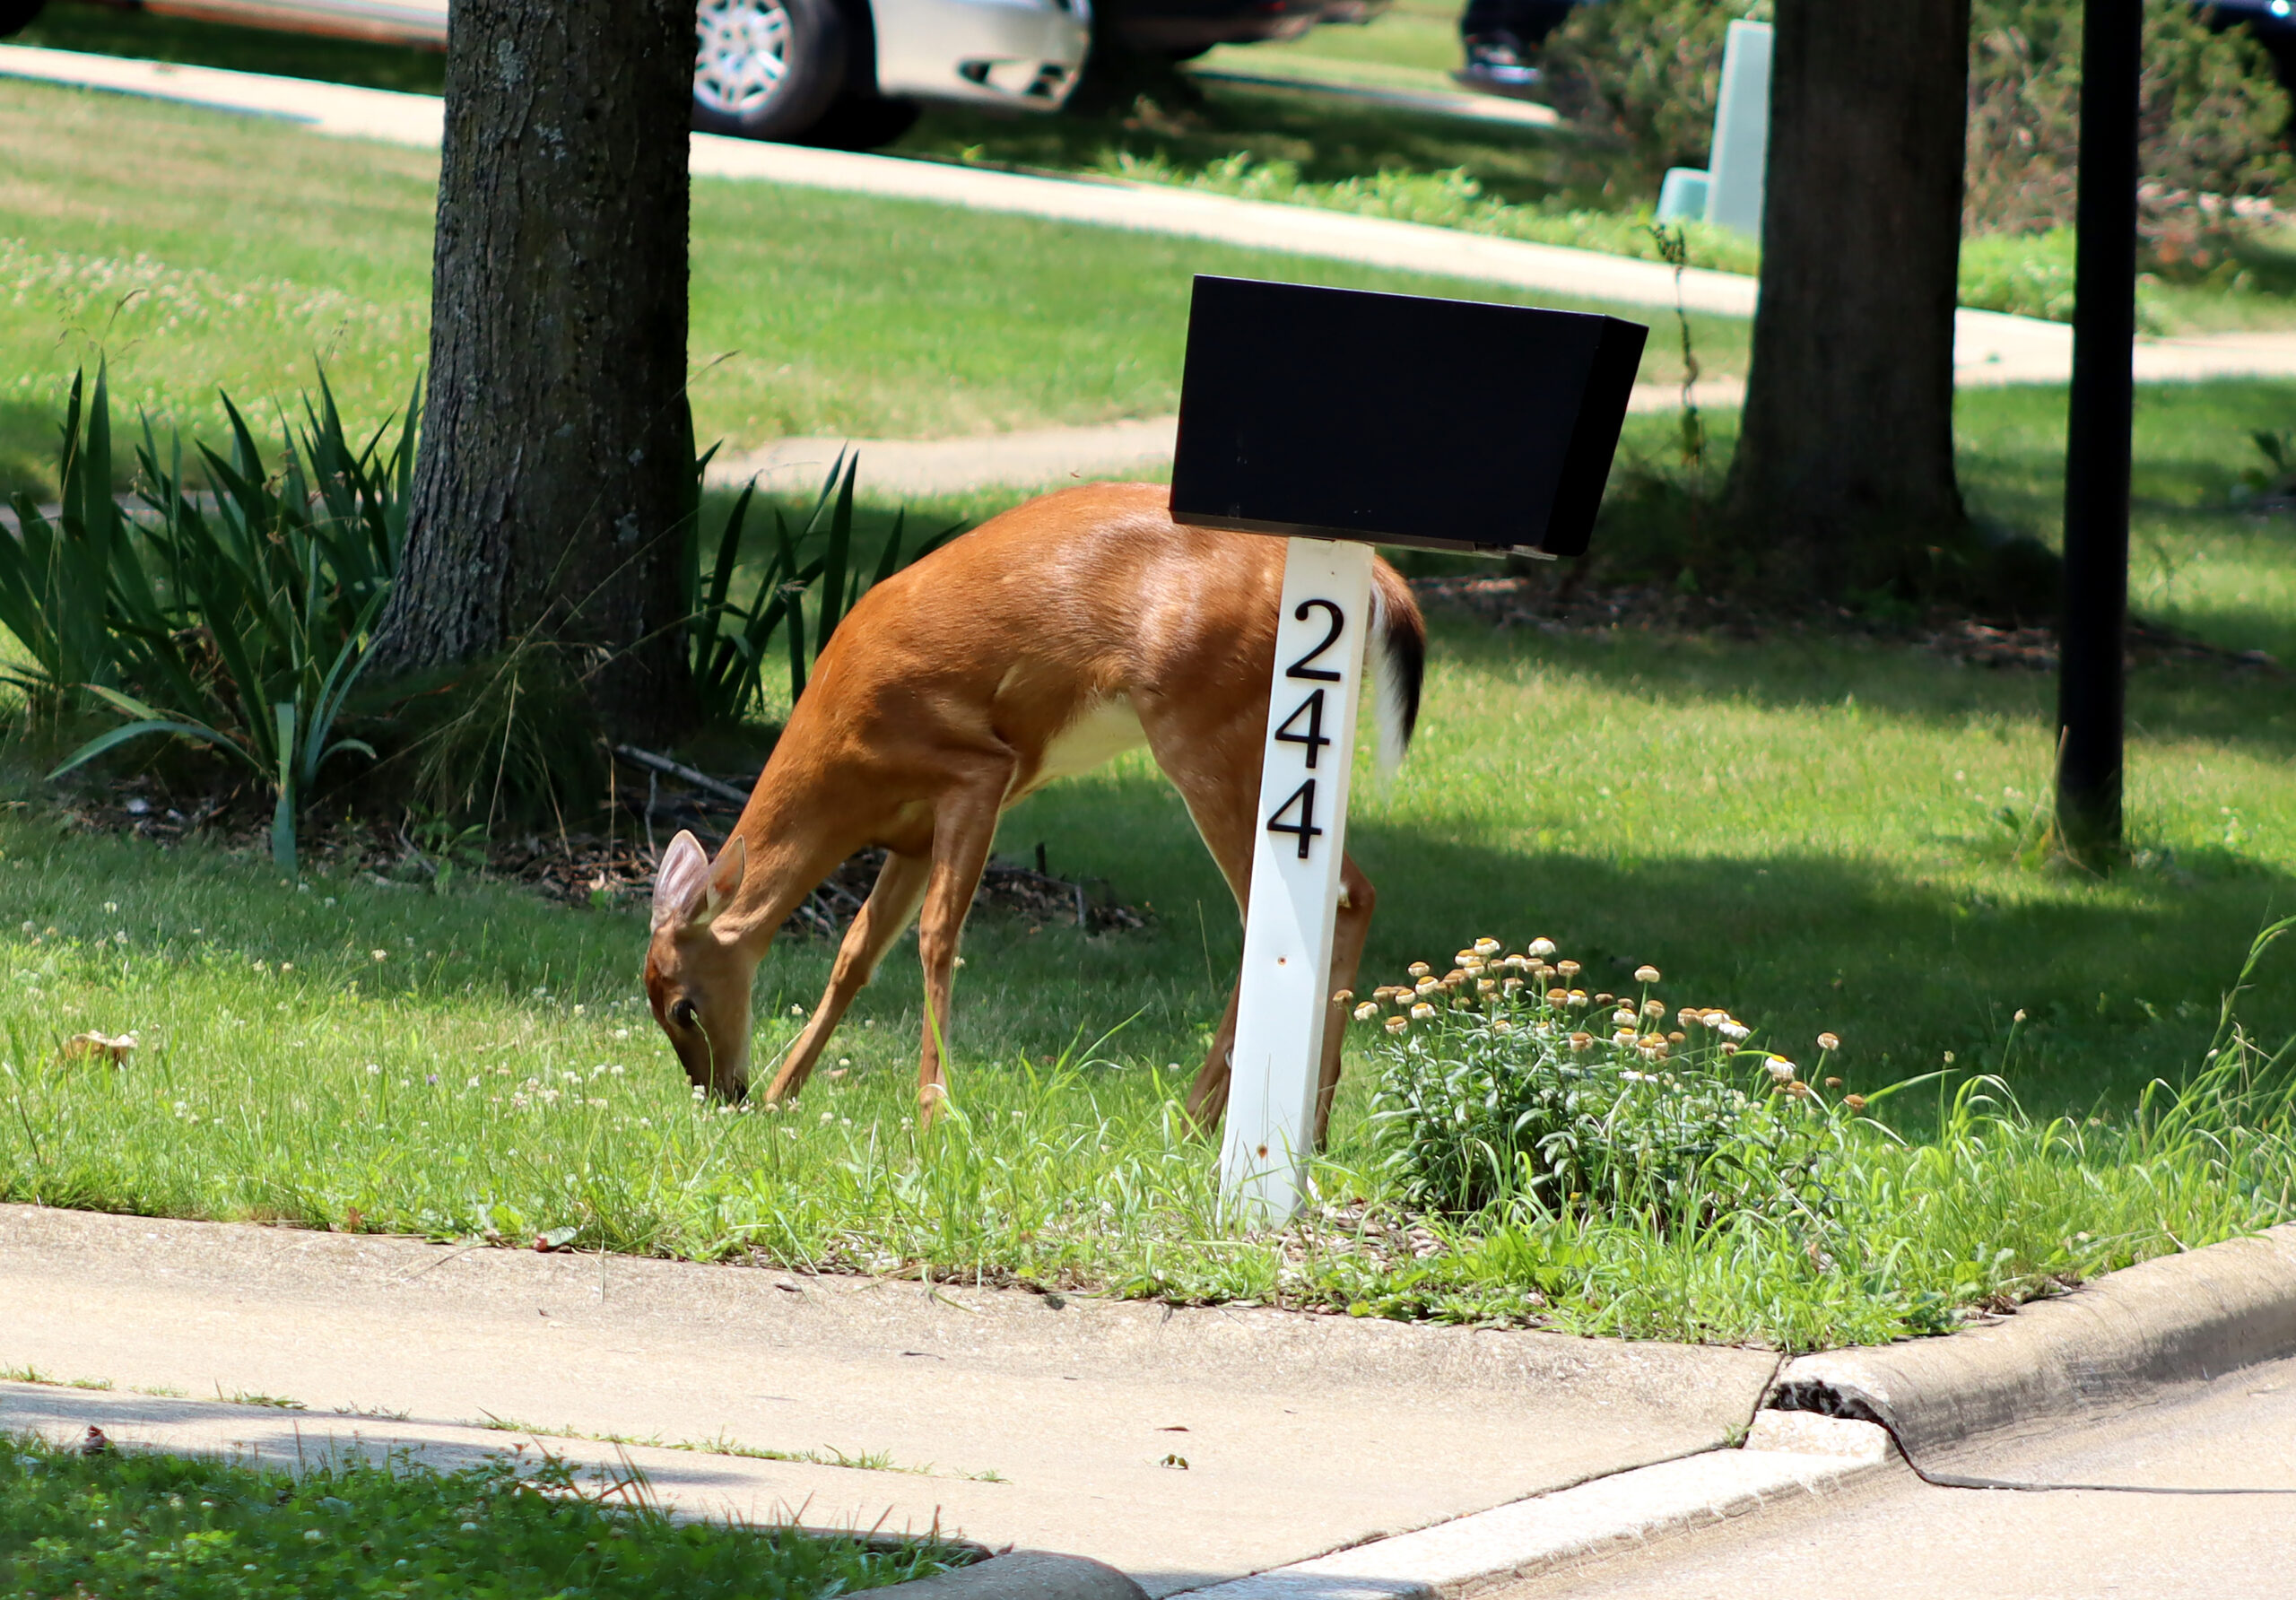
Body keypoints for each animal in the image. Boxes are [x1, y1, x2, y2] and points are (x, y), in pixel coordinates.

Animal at [644, 480, 1424, 1144]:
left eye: (682, 1006)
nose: (722, 1093)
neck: (846, 755)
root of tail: (1380, 581)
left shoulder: (977, 771)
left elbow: (936, 937)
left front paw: (932, 1112)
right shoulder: (910, 833)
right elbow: (856, 951)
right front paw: (785, 1093)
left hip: (1206, 727)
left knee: (1296, 901)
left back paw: (1202, 1122)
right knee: (1351, 892)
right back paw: (1306, 1129)